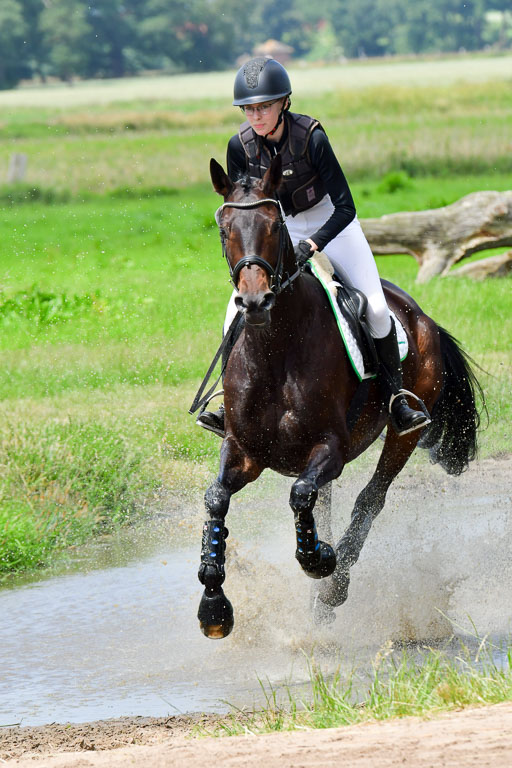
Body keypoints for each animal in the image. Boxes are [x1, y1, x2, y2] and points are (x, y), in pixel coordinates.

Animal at [196, 154, 482, 639]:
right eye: (225, 228)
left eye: (275, 225)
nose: (254, 302)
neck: (276, 348)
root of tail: (422, 317)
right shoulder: (244, 449)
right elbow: (217, 499)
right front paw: (213, 607)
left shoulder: (330, 447)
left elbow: (300, 497)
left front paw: (319, 562)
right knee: (325, 504)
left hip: (403, 433)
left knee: (370, 499)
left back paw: (332, 588)